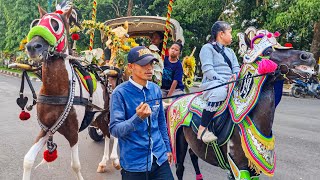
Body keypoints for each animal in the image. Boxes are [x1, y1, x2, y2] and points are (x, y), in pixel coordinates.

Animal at [23, 4, 119, 179]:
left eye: (56, 24)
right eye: (37, 23)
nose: (32, 46)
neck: (57, 90)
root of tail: (106, 76)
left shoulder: (73, 133)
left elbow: (75, 165)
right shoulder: (46, 129)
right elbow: (28, 160)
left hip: (109, 113)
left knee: (113, 134)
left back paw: (115, 159)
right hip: (97, 118)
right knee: (107, 134)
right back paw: (103, 162)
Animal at [169, 31, 316, 179]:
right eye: (268, 51)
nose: (308, 56)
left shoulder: (253, 170)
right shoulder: (239, 167)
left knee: (193, 155)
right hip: (179, 142)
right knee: (180, 168)